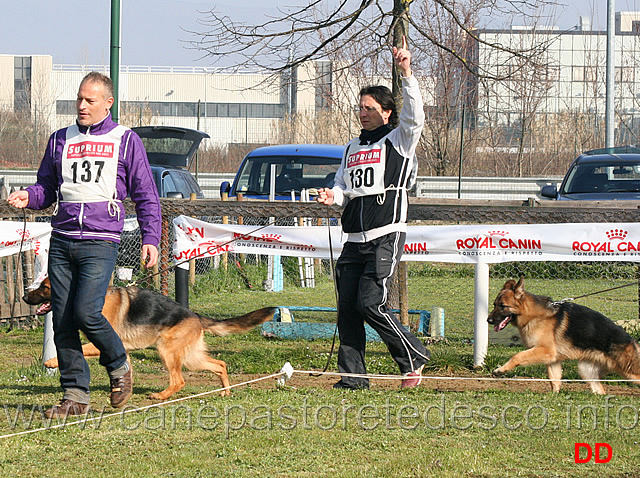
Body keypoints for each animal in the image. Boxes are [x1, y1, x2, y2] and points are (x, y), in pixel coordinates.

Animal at [24, 276, 276, 400]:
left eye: (44, 287)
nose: (25, 298)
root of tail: (195, 315)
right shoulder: (118, 349)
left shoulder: (101, 342)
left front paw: (50, 362)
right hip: (191, 358)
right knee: (220, 364)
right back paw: (225, 391)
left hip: (167, 352)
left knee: (179, 381)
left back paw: (161, 395)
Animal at [488, 278, 640, 394]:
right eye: (494, 305)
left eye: (503, 306)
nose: (488, 320)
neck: (533, 315)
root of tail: (632, 340)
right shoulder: (552, 359)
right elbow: (554, 379)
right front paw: (554, 395)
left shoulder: (545, 350)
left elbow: (517, 356)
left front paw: (501, 369)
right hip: (586, 371)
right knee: (600, 390)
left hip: (628, 372)